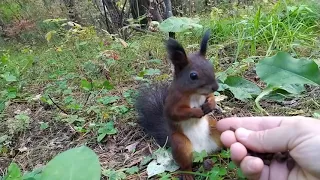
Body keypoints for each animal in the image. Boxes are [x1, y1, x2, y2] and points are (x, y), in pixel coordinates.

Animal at [134, 30, 222, 179]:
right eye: (193, 76)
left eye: (211, 66)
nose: (215, 87)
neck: (194, 94)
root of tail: (202, 151)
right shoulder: (173, 100)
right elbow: (175, 113)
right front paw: (196, 112)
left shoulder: (205, 95)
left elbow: (210, 97)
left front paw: (210, 104)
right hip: (180, 144)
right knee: (186, 165)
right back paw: (187, 174)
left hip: (216, 128)